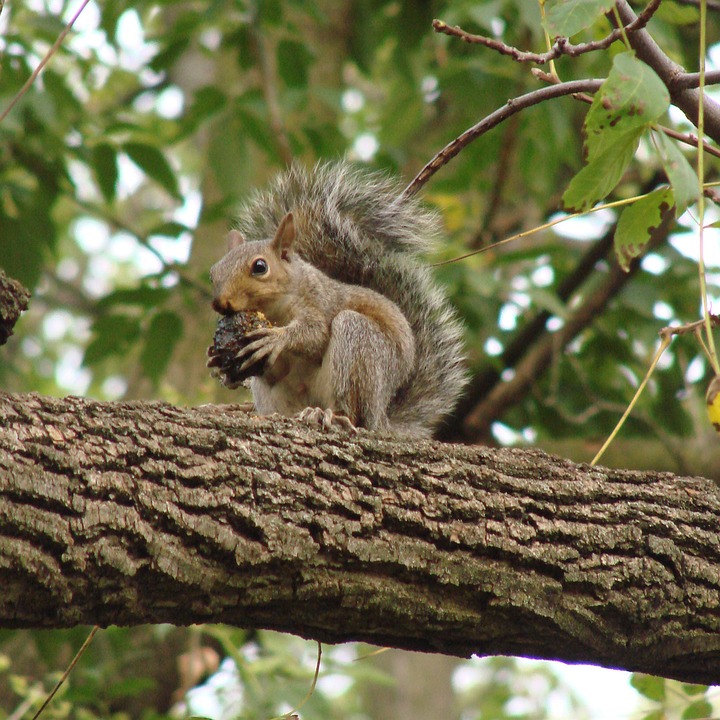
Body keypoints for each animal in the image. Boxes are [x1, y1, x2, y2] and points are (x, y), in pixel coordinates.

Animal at [210, 161, 465, 437]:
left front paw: (277, 338)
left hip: (358, 345)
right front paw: (218, 360)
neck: (274, 310)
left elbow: (316, 334)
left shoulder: (318, 302)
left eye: (260, 267)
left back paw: (331, 415)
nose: (220, 303)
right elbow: (276, 369)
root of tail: (381, 417)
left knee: (353, 412)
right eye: (213, 272)